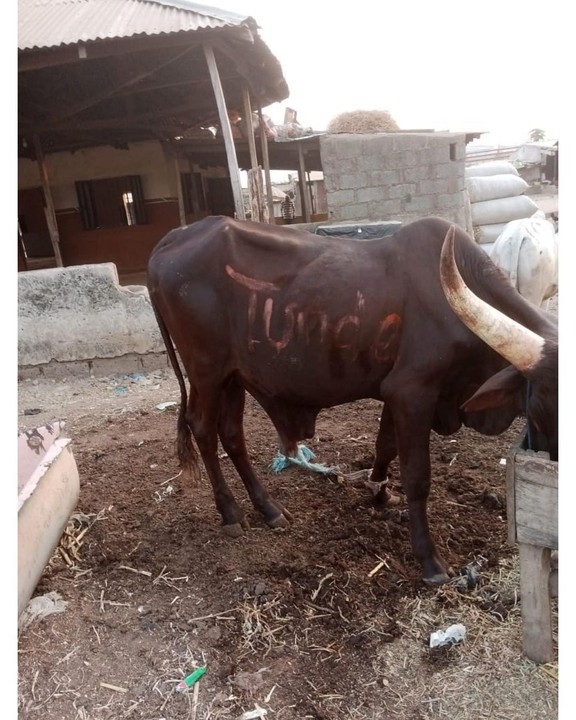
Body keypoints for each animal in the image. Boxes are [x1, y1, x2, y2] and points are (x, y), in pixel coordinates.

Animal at [147, 216, 558, 585]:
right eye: (538, 410)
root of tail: (174, 237)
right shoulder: (413, 392)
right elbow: (417, 475)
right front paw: (429, 560)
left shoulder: (393, 392)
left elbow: (385, 447)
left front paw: (379, 493)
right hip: (207, 371)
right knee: (203, 428)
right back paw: (231, 513)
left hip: (234, 377)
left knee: (232, 434)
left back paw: (269, 509)